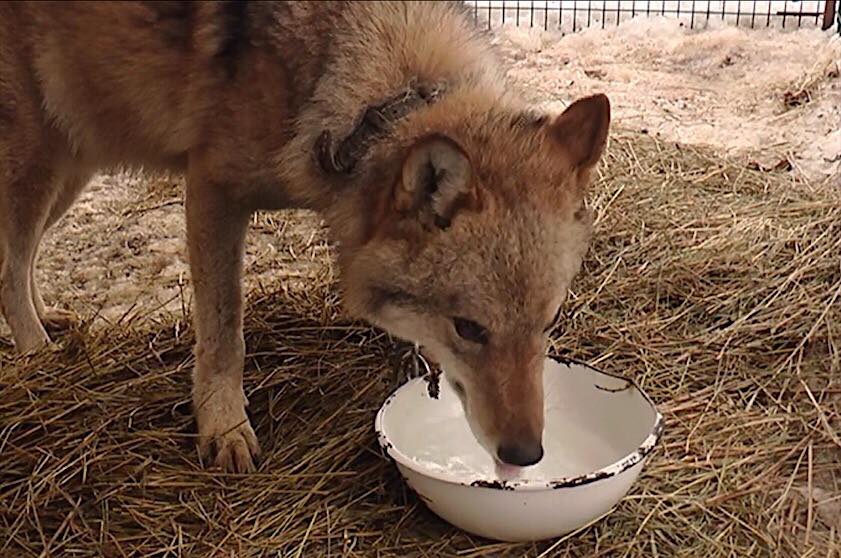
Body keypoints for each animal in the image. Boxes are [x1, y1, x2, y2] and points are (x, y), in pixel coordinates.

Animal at [0, 1, 608, 472]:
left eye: (549, 322)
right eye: (469, 328)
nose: (526, 455)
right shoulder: (212, 190)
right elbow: (225, 329)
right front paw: (223, 428)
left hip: (72, 166)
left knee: (21, 261)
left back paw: (53, 323)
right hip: (41, 166)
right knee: (10, 267)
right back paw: (38, 354)